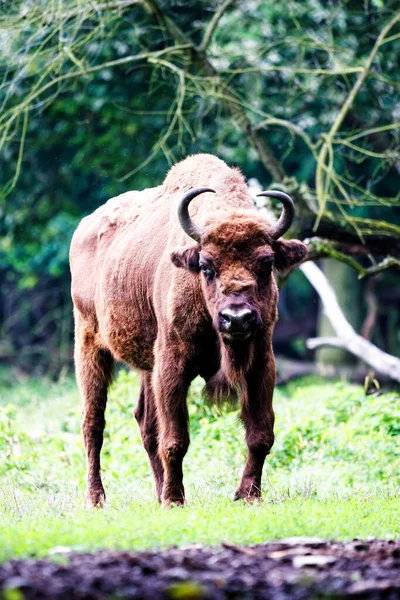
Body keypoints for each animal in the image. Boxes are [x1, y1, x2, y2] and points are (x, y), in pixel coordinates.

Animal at [69, 154, 306, 506]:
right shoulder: (172, 365)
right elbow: (175, 439)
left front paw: (248, 495)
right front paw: (174, 500)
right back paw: (97, 499)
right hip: (89, 344)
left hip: (145, 365)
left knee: (145, 423)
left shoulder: (262, 363)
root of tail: (85, 227)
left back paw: (156, 492)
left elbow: (261, 435)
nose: (237, 319)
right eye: (206, 266)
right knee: (93, 424)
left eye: (266, 263)